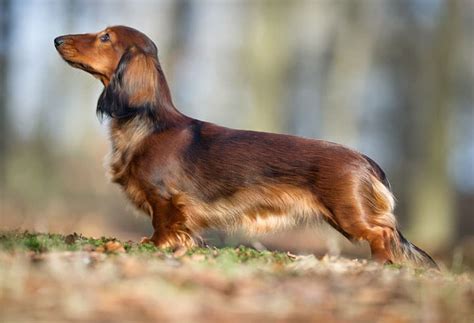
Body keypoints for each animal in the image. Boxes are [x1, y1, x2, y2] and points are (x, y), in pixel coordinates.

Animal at [54, 26, 436, 268]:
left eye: (105, 37)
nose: (57, 39)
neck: (146, 125)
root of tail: (366, 159)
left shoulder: (164, 197)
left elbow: (163, 225)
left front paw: (155, 246)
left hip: (349, 213)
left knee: (384, 233)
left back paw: (383, 264)